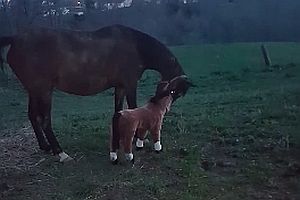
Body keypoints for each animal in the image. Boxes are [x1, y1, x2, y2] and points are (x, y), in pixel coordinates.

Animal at [0, 24, 191, 161]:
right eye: (174, 91)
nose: (164, 108)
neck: (136, 46)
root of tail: (15, 39)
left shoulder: (120, 87)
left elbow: (118, 112)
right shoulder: (130, 85)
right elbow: (135, 109)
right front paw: (139, 141)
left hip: (34, 91)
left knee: (32, 116)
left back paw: (45, 147)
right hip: (44, 91)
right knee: (45, 120)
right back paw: (60, 153)